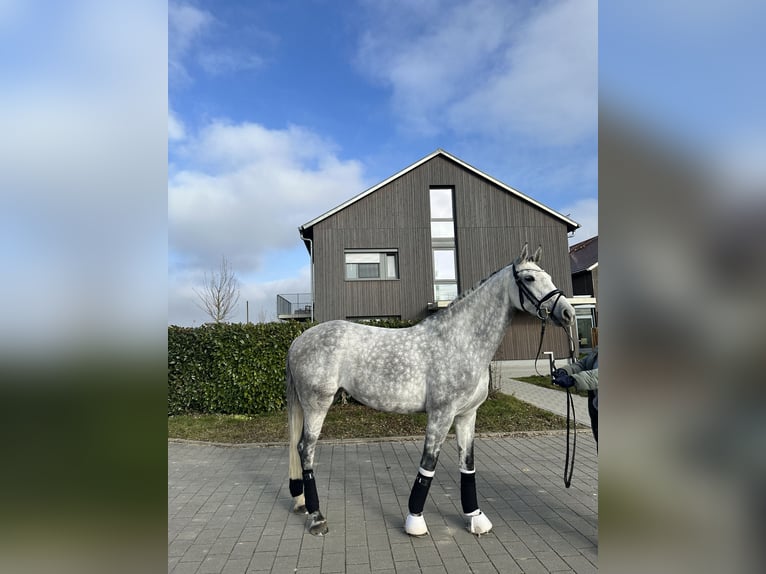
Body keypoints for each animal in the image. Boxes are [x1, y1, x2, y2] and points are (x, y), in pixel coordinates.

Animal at [284, 245, 572, 536]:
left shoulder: (467, 415)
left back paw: (303, 503)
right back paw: (317, 517)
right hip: (317, 405)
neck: (459, 340)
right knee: (305, 449)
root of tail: (298, 341)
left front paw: (475, 517)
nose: (567, 313)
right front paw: (415, 520)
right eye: (529, 278)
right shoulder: (441, 414)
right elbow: (429, 464)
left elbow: (467, 465)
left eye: (548, 276)